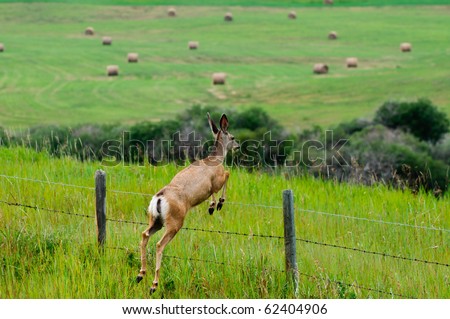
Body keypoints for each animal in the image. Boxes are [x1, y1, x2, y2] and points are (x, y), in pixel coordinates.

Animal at [136, 113, 239, 296]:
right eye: (232, 137)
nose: (238, 146)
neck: (215, 159)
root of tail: (159, 198)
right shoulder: (216, 179)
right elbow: (226, 175)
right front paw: (216, 204)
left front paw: (213, 205)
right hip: (174, 222)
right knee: (159, 244)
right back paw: (153, 285)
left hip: (156, 220)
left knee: (144, 235)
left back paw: (140, 274)